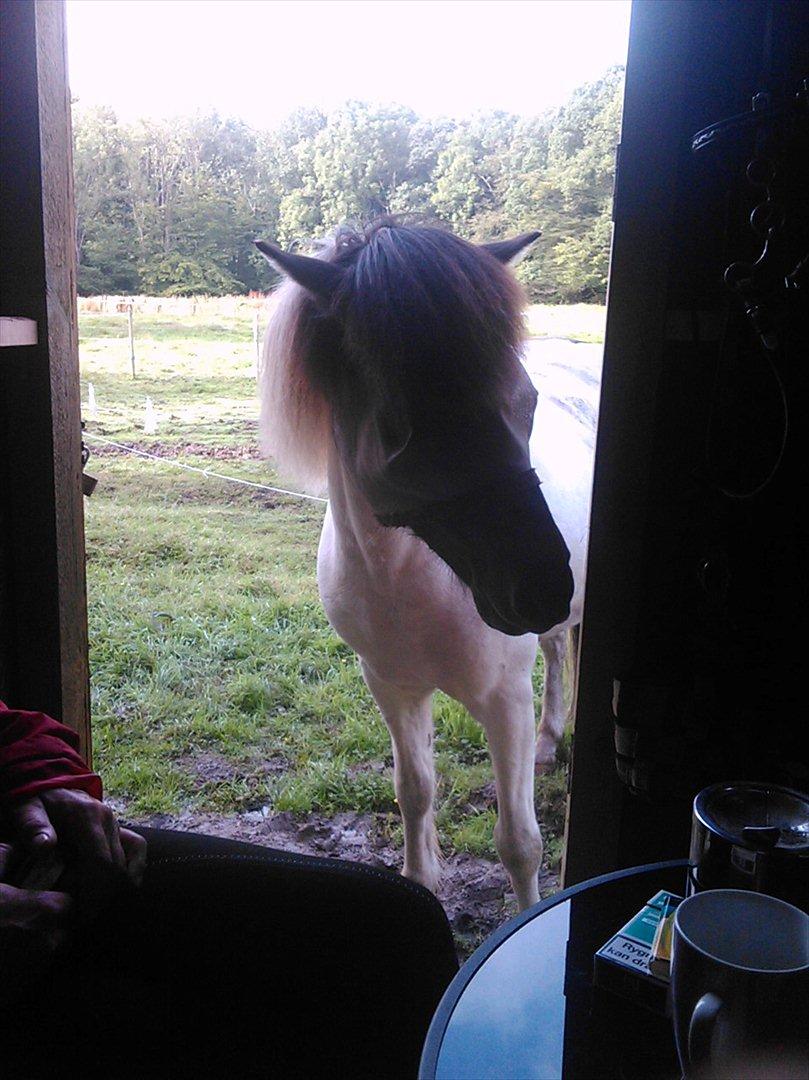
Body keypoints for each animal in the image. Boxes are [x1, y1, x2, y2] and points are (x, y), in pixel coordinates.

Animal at [257, 221, 591, 911]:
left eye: (527, 400)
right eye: (400, 426)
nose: (543, 585)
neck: (406, 583)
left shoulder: (504, 701)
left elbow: (520, 843)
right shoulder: (392, 686)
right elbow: (415, 791)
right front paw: (422, 878)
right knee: (555, 647)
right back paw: (551, 740)